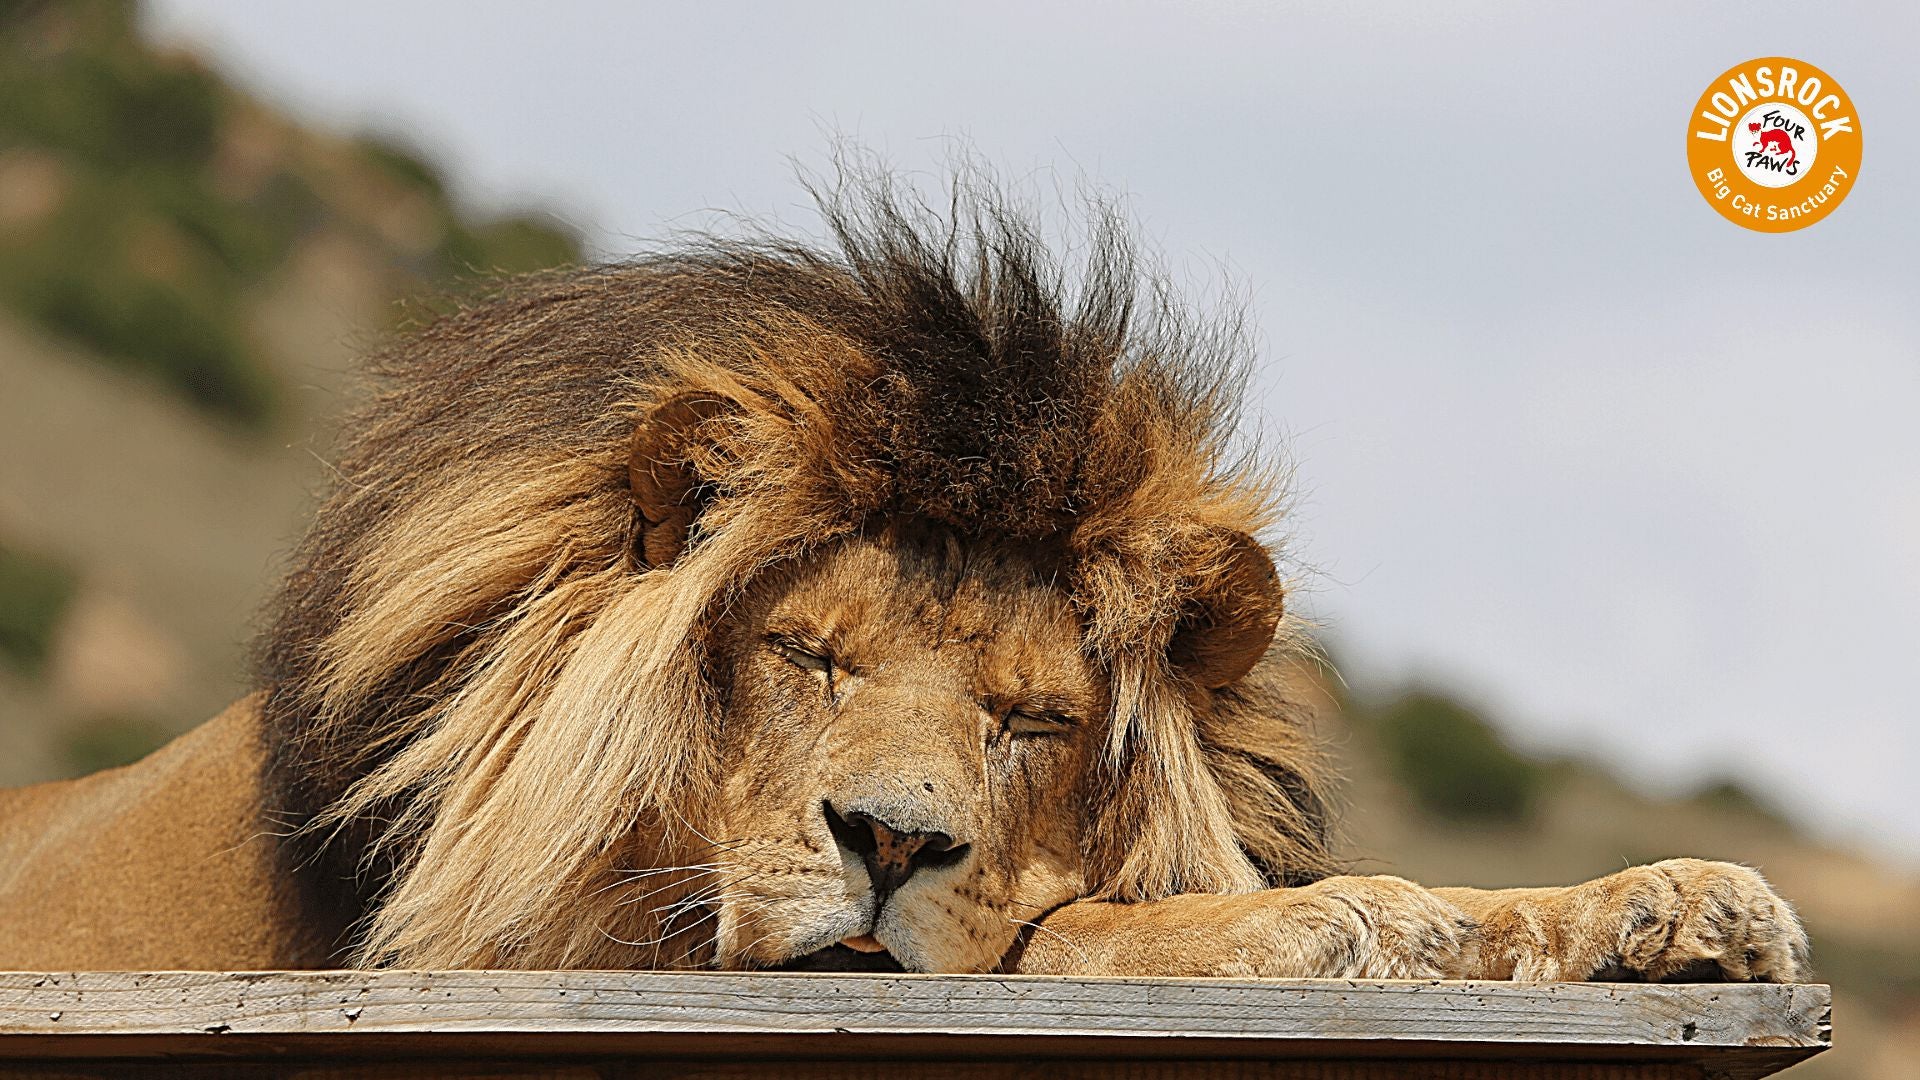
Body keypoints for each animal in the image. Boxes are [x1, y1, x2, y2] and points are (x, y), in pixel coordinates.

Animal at [0, 171, 1804, 980]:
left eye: (1030, 723)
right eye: (809, 657)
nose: (887, 843)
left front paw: (1659, 908)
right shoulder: (543, 937)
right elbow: (1062, 937)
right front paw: (1341, 920)